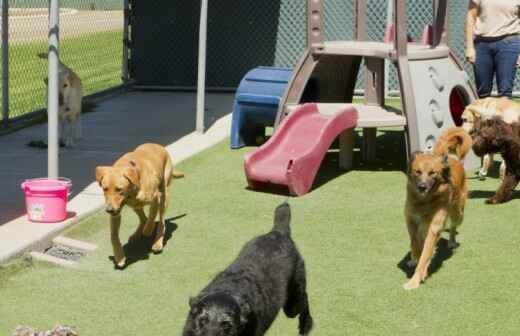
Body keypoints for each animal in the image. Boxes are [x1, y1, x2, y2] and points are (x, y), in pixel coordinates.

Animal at [183, 202, 312, 336]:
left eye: (227, 325)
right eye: (202, 320)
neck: (229, 289)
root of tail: (278, 232)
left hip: (292, 303)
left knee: (305, 299)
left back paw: (305, 325)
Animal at [404, 127, 474, 290]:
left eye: (432, 173)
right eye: (417, 172)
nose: (422, 187)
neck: (424, 202)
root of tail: (451, 158)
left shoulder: (434, 227)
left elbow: (425, 254)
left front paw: (415, 280)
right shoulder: (411, 221)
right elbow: (415, 243)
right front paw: (414, 258)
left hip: (458, 213)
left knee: (453, 227)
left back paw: (451, 242)